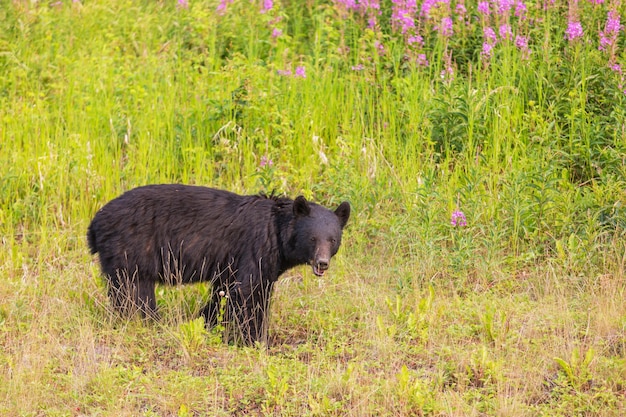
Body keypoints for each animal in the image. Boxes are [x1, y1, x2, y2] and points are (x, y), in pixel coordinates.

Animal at [86, 184, 352, 342]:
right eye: (312, 238)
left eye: (332, 239)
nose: (322, 262)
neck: (276, 231)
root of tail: (95, 222)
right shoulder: (254, 250)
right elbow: (250, 293)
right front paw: (256, 339)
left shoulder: (229, 264)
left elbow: (223, 292)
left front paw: (207, 322)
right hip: (130, 254)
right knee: (134, 295)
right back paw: (146, 322)